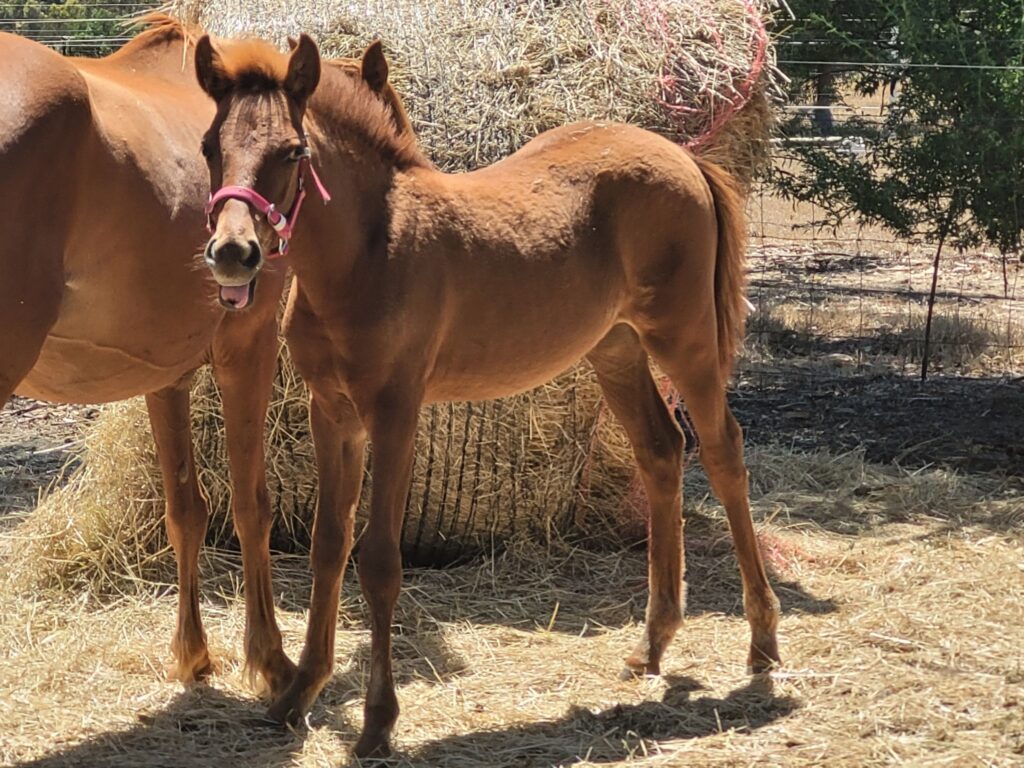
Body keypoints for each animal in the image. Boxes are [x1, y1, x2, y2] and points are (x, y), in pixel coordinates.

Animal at [0, 16, 407, 704]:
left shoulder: (166, 375)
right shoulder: (249, 346)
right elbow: (250, 504)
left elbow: (185, 510)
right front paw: (271, 660)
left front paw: (193, 656)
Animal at [195, 34, 778, 757]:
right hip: (615, 348)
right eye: (209, 145)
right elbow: (329, 545)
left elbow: (379, 560)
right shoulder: (331, 412)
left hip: (685, 339)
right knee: (661, 449)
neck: (367, 254)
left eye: (293, 151)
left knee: (723, 453)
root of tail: (688, 159)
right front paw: (297, 693)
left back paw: (762, 639)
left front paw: (378, 721)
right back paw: (652, 644)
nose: (234, 253)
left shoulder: (395, 413)